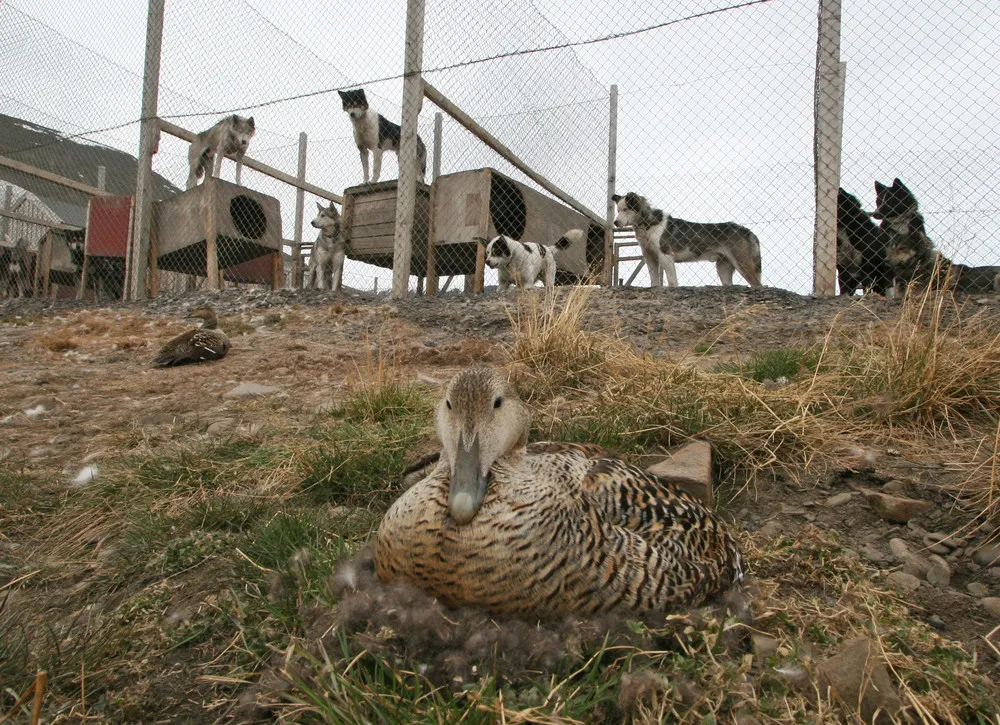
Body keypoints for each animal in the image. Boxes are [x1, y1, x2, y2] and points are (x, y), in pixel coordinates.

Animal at [608, 192, 764, 288]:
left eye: (626, 209)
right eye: (618, 210)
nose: (615, 222)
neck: (648, 224)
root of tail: (747, 230)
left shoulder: (666, 257)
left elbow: (672, 282)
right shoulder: (649, 257)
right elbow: (654, 283)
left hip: (742, 264)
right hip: (723, 269)